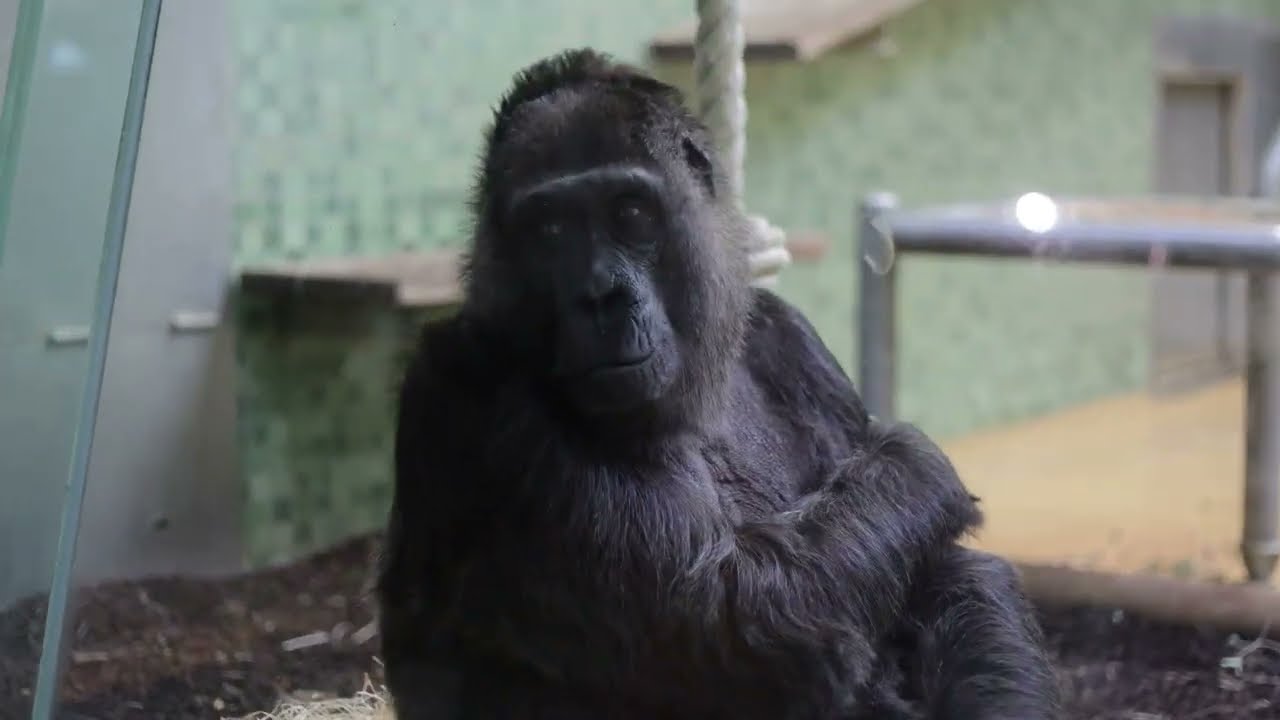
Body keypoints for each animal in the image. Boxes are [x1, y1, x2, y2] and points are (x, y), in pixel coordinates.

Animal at [377, 48, 1059, 720]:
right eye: (549, 230)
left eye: (630, 214)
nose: (600, 296)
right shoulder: (473, 390)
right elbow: (740, 618)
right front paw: (913, 460)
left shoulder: (792, 339)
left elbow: (951, 579)